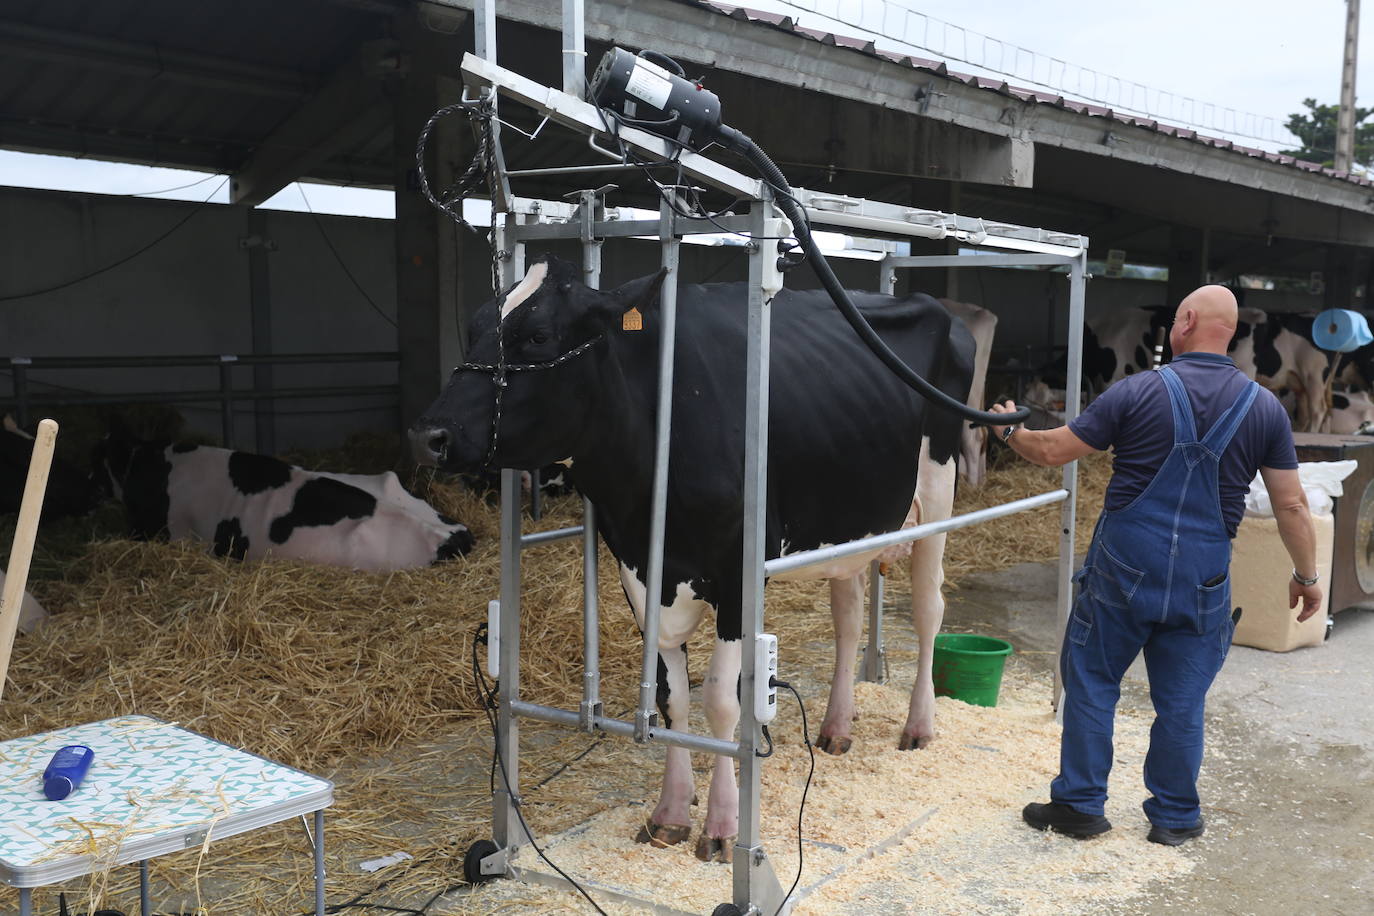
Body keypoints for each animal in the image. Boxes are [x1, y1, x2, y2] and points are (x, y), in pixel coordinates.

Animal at [409, 254, 978, 862]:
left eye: (538, 335)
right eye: (474, 327)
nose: (429, 435)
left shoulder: (738, 576)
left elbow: (723, 702)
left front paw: (724, 827)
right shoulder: (639, 569)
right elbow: (671, 699)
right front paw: (671, 814)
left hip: (938, 494)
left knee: (929, 610)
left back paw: (918, 726)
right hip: (848, 522)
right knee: (848, 620)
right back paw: (835, 727)